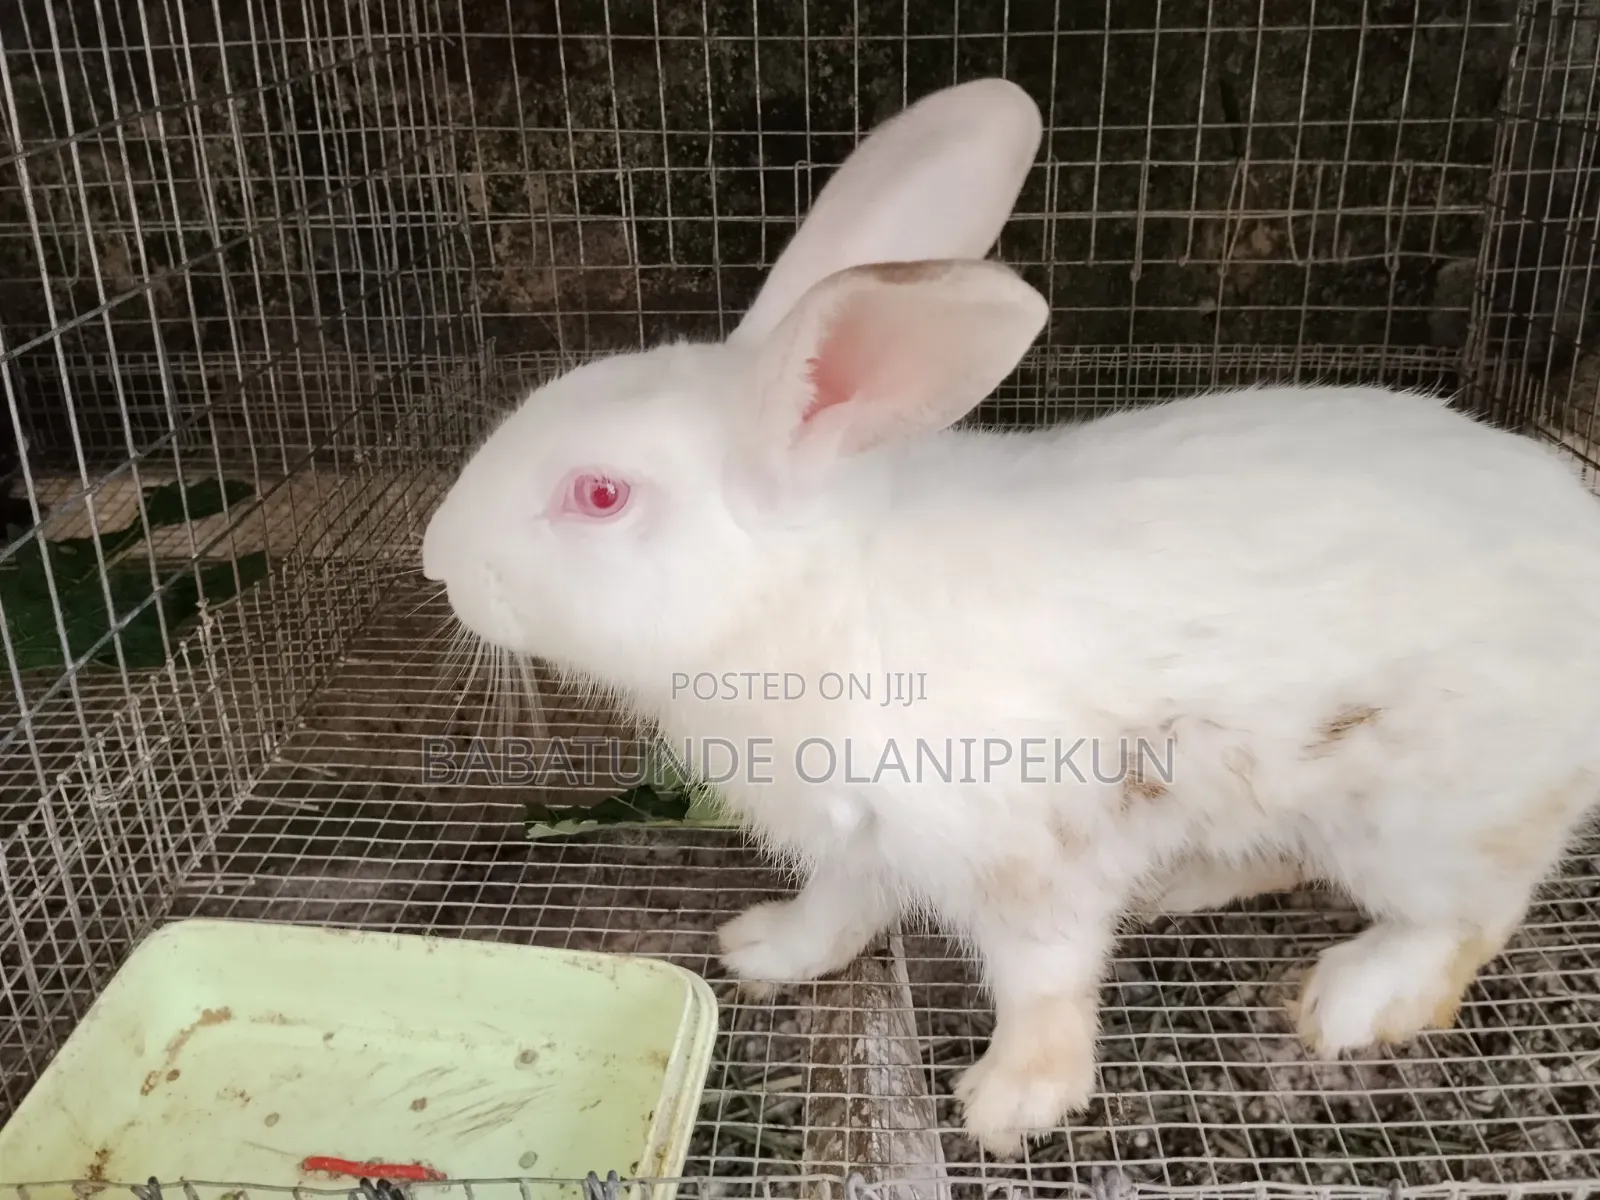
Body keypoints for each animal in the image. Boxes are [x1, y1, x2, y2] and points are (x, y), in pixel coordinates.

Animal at [420, 76, 1600, 1157]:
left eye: (599, 495)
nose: (438, 562)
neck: (812, 596)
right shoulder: (860, 839)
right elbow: (839, 912)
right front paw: (765, 953)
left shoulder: (1025, 849)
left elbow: (1045, 976)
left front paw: (1013, 1102)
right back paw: (1188, 885)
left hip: (1427, 816)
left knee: (1466, 917)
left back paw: (1351, 1000)